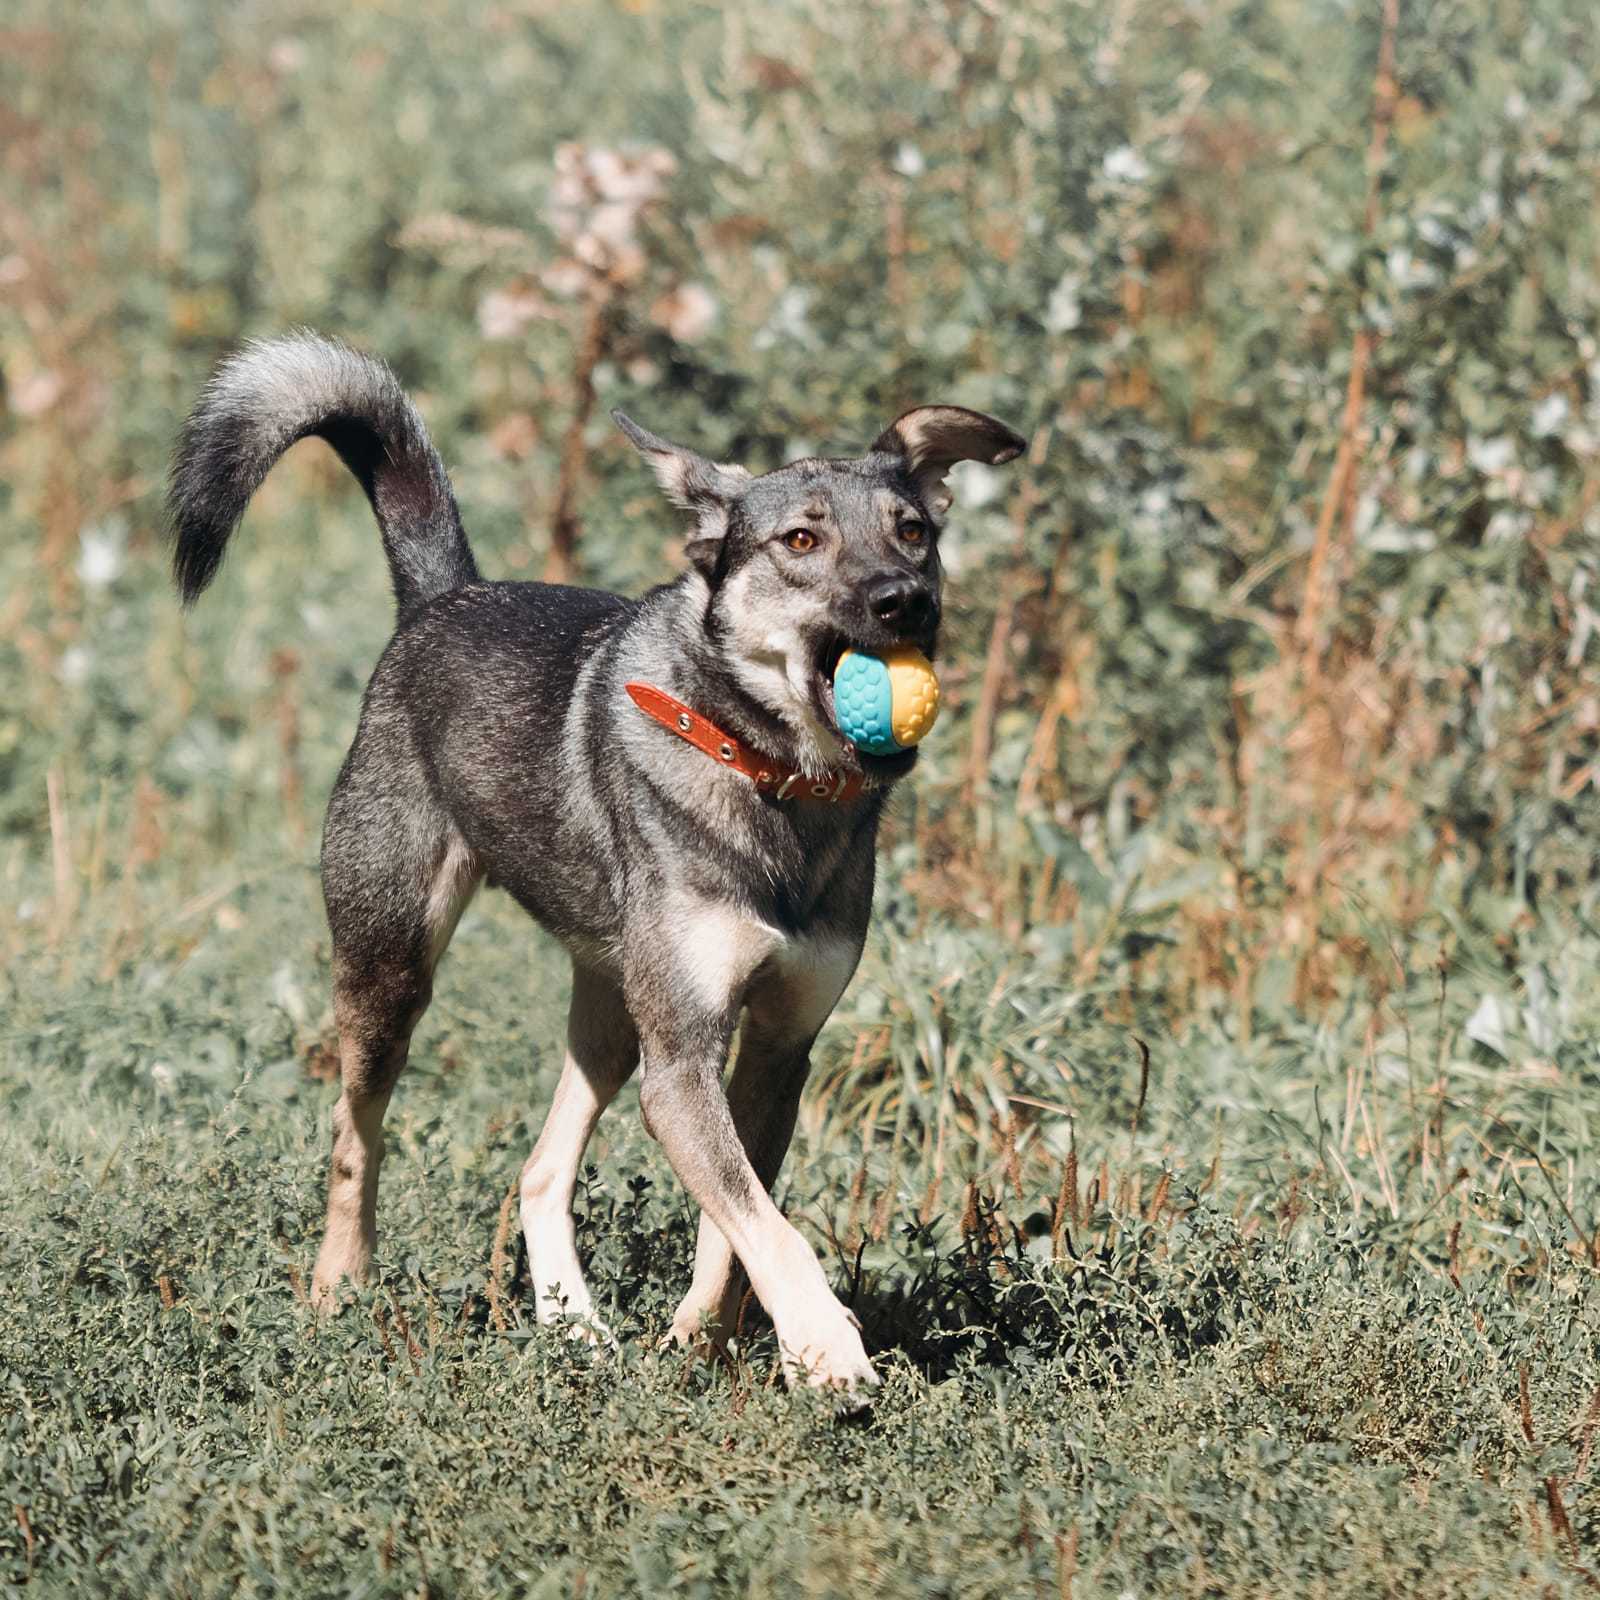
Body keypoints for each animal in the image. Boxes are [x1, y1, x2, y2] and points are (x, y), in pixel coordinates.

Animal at [168, 331, 1024, 1395]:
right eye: (799, 542)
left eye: (913, 530)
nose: (905, 601)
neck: (771, 779)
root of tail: (441, 598)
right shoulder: (682, 1062)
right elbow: (770, 1230)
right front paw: (827, 1348)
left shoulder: (770, 1053)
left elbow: (735, 1226)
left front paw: (702, 1339)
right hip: (391, 965)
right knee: (352, 1131)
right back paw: (340, 1287)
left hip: (613, 1015)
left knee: (540, 1168)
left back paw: (573, 1325)